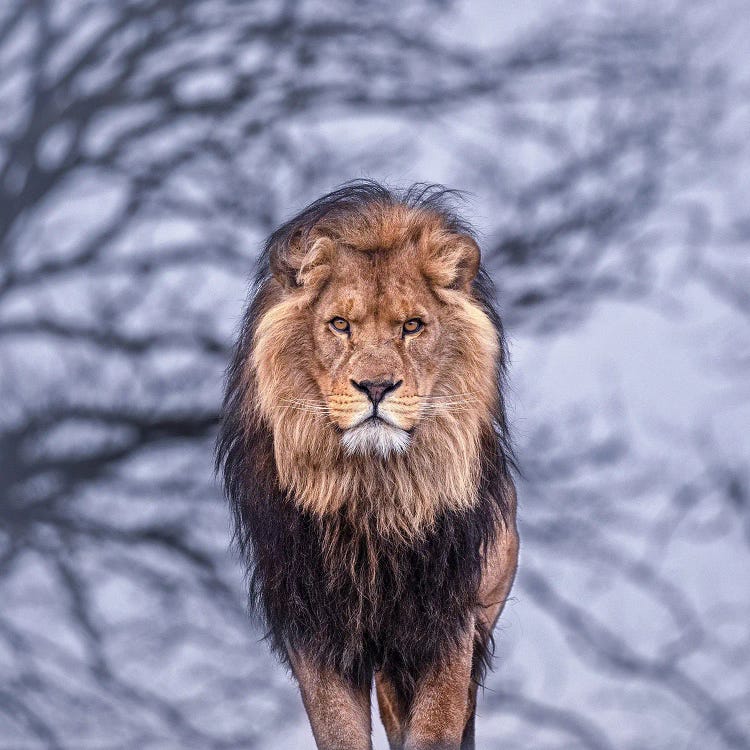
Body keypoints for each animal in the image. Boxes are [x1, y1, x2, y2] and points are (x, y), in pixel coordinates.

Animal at [217, 180, 519, 750]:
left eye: (412, 326)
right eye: (340, 324)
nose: (376, 387)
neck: (372, 491)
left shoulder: (448, 622)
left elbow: (434, 731)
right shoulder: (315, 627)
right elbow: (339, 731)